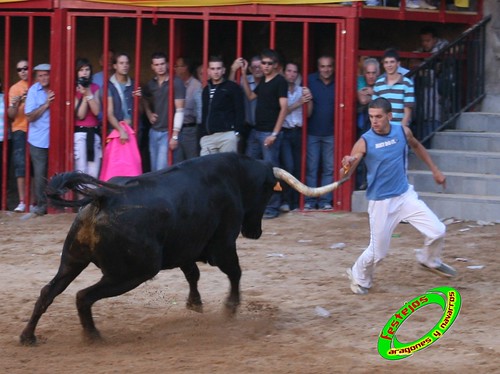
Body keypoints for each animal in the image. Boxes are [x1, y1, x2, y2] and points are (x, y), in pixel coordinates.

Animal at [19, 153, 348, 344]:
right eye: (268, 191)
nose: (254, 231)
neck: (235, 176)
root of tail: (102, 197)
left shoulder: (185, 249)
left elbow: (192, 274)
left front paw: (195, 304)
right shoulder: (222, 246)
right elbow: (235, 272)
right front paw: (230, 308)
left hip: (72, 260)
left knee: (48, 291)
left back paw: (28, 336)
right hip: (132, 273)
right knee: (83, 296)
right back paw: (93, 336)